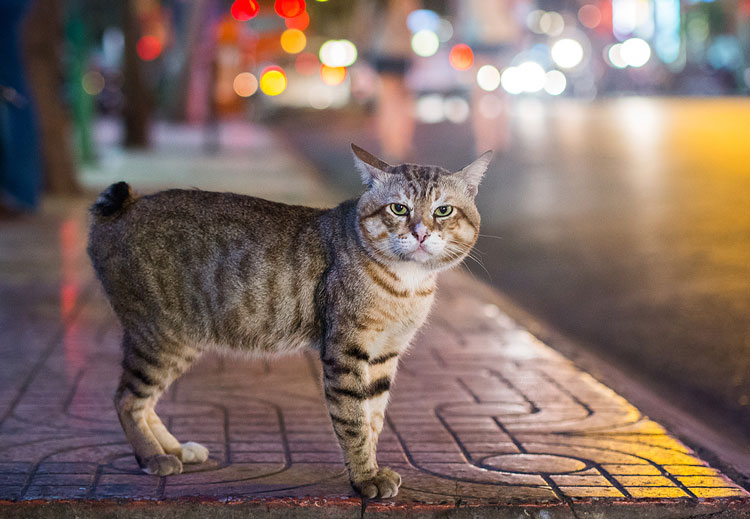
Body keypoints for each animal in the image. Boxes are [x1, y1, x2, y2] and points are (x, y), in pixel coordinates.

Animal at [88, 145, 490, 500]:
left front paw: (370, 468)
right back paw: (153, 457)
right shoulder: (345, 353)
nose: (421, 232)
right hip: (162, 336)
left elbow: (373, 417)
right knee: (126, 399)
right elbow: (354, 421)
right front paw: (365, 478)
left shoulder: (384, 355)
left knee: (145, 403)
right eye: (398, 208)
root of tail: (125, 206)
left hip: (180, 342)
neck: (407, 286)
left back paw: (173, 449)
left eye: (443, 210)